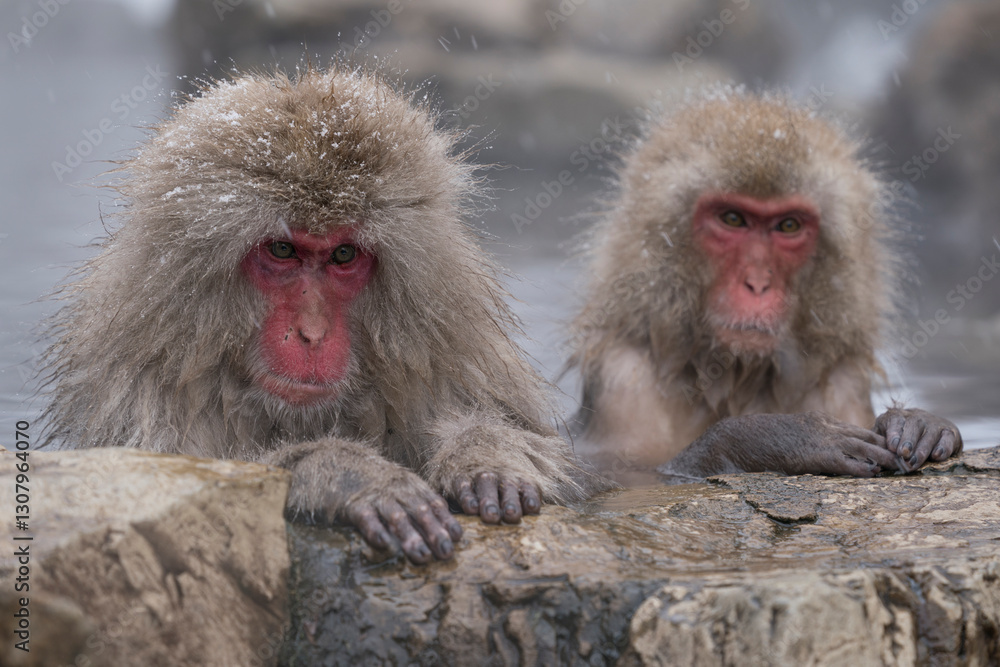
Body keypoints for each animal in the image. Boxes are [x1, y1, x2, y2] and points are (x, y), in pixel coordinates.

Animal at [40, 65, 605, 564]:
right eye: (283, 251)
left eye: (342, 255)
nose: (311, 333)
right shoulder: (140, 391)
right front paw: (344, 472)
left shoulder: (441, 347)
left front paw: (488, 455)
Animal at [566, 88, 963, 485]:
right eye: (732, 219)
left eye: (788, 226)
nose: (757, 284)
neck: (735, 375)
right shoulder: (624, 377)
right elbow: (623, 475)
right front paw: (784, 436)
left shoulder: (842, 380)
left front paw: (917, 423)